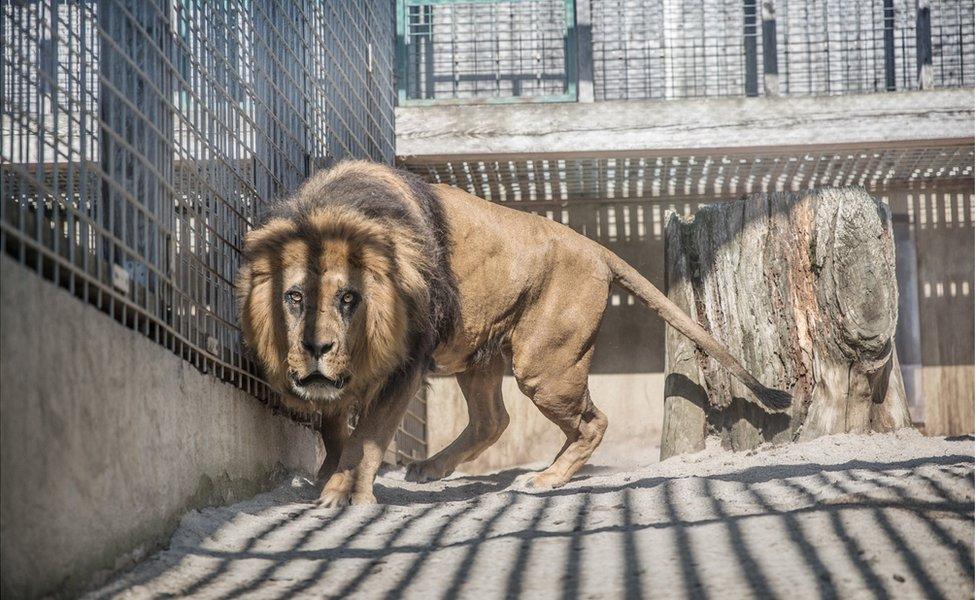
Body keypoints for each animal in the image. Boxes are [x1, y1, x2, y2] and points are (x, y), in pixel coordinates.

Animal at [238, 161, 792, 506]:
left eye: (348, 299)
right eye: (294, 298)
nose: (316, 348)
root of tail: (596, 247)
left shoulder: (407, 364)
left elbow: (368, 437)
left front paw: (346, 494)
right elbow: (335, 428)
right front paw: (326, 478)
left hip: (545, 367)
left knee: (592, 423)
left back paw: (544, 478)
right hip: (477, 354)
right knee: (494, 420)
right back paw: (433, 469)